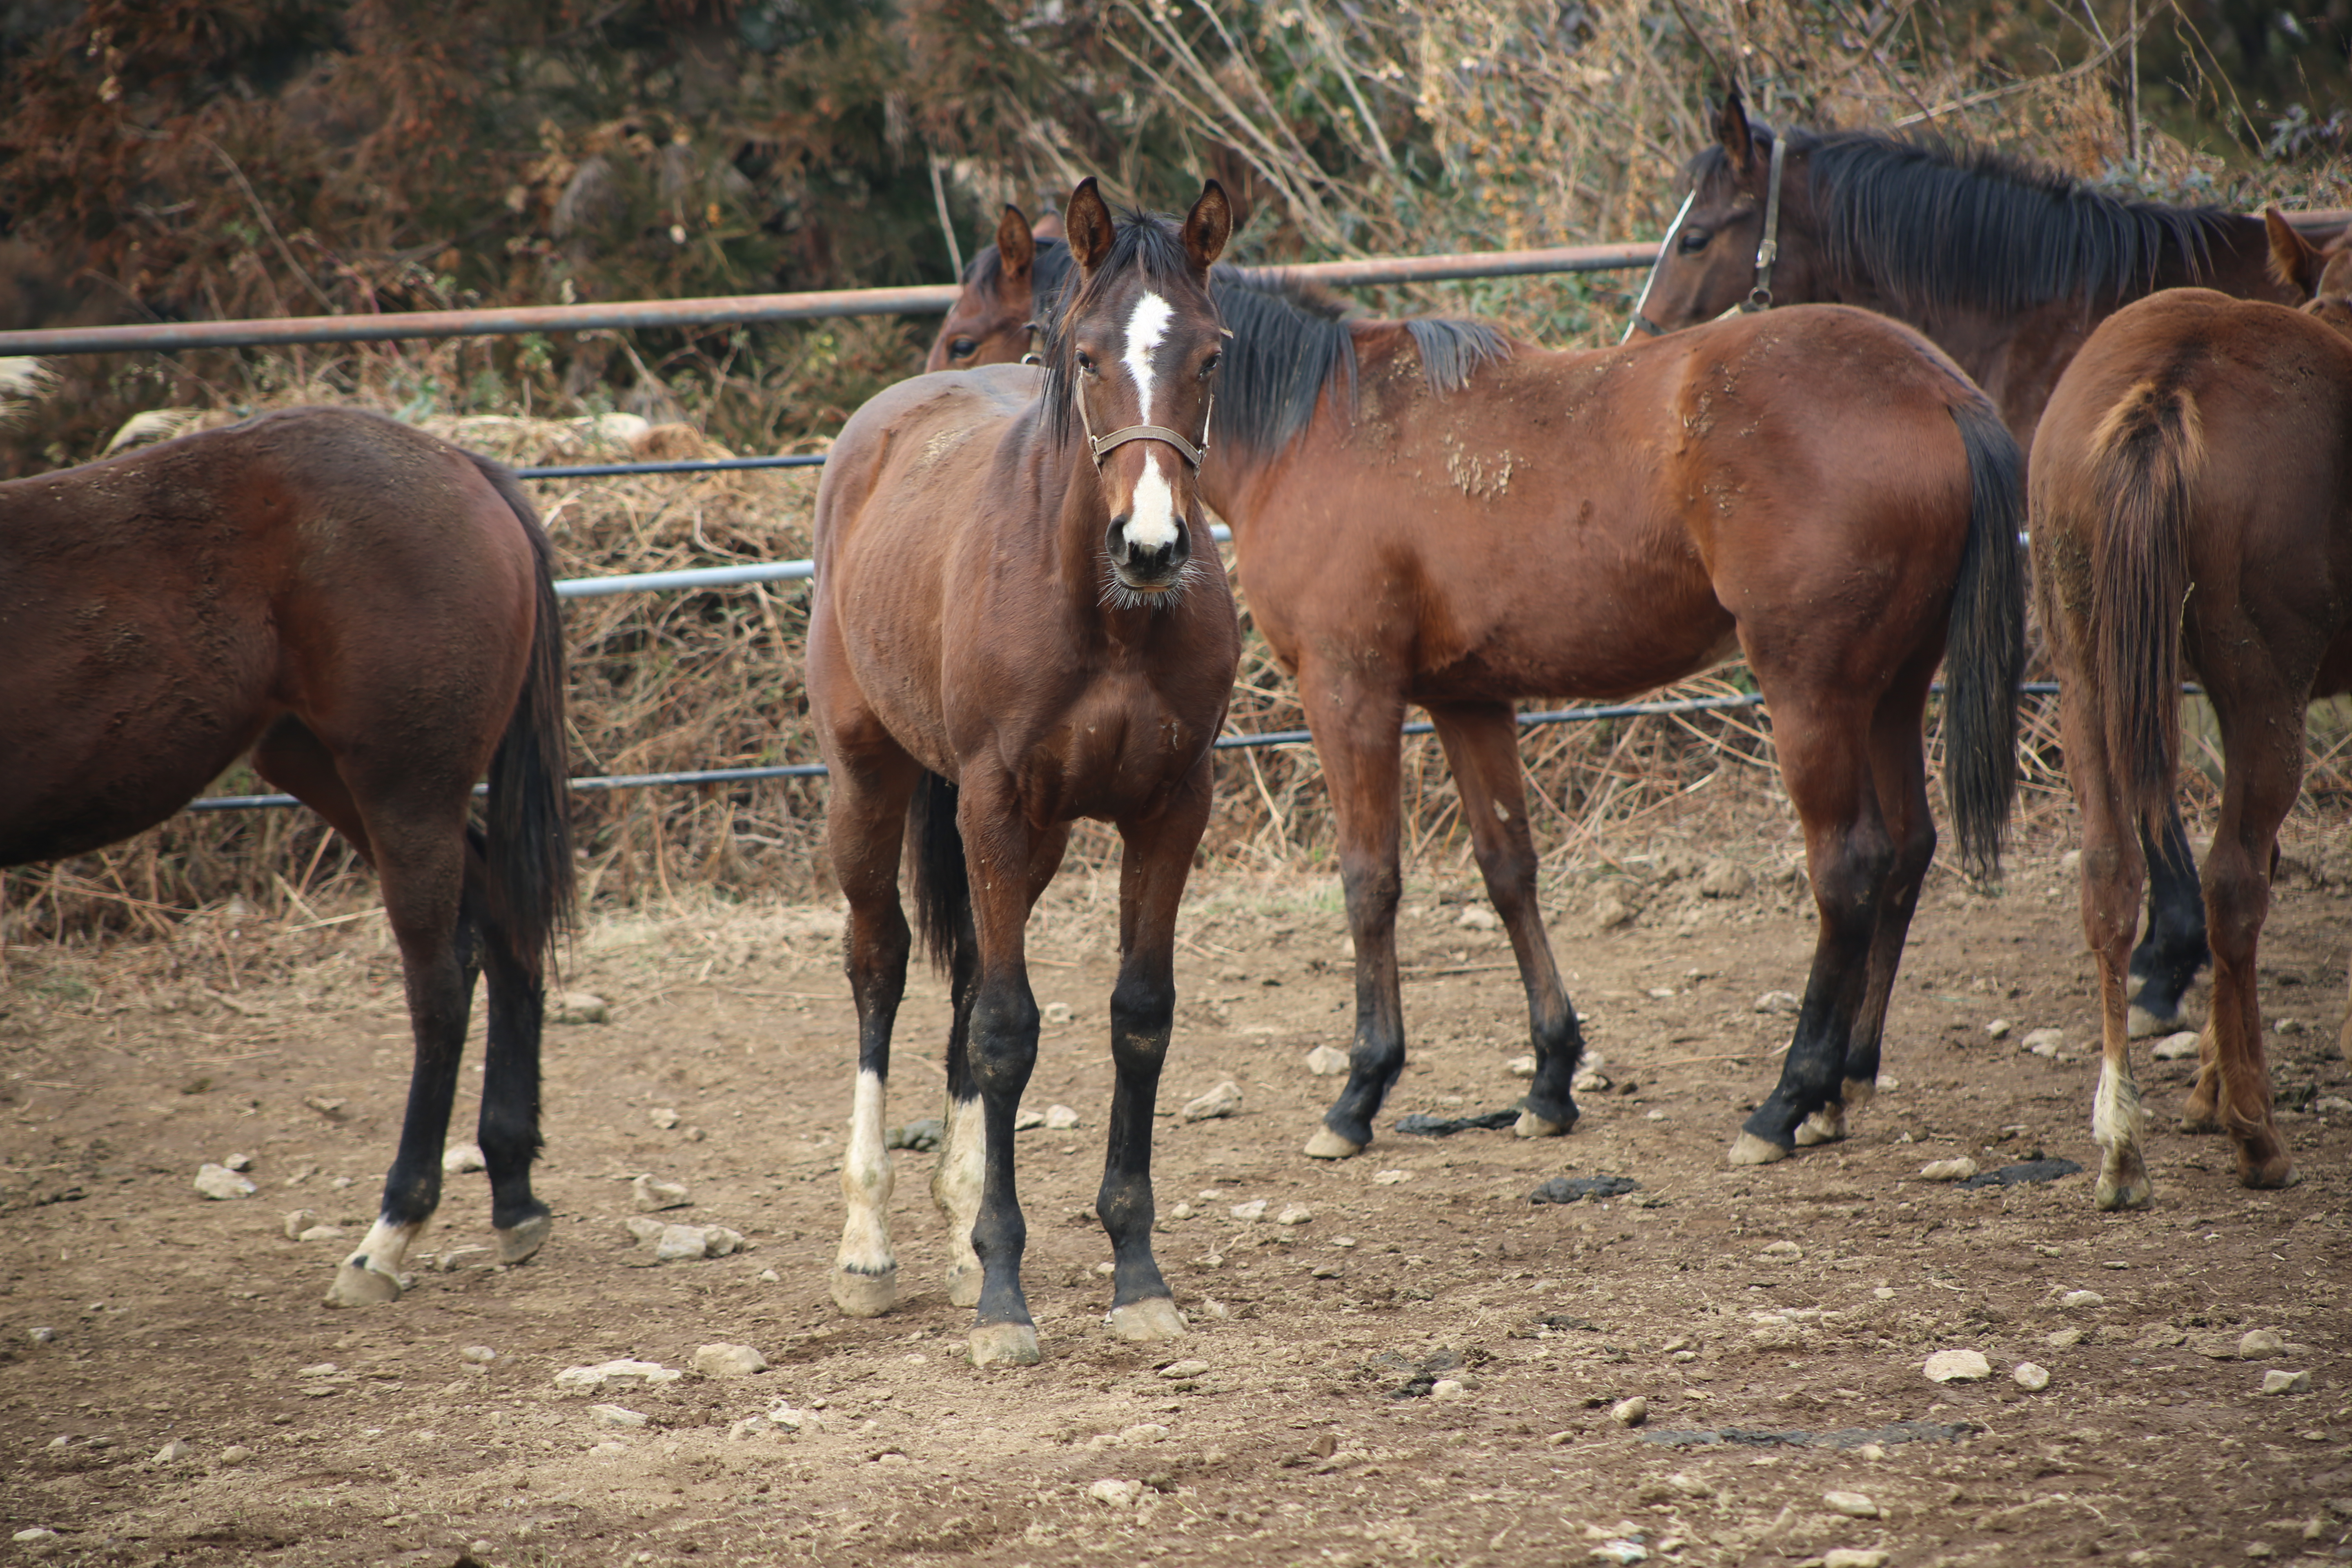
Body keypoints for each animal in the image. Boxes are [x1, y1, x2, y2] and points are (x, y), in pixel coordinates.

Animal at [7, 404, 576, 1297]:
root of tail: (461, 465)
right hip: (318, 765)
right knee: (501, 922)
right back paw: (513, 1193)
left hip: (403, 787)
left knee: (440, 989)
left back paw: (391, 1232)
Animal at [813, 177, 1251, 1363]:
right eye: (1088, 355)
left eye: (1210, 355)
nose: (1150, 546)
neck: (1105, 614)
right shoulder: (995, 807)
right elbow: (1008, 1032)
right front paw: (1004, 1298)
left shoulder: (1168, 808)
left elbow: (1137, 1016)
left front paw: (1135, 1275)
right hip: (867, 780)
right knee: (878, 964)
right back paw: (867, 1247)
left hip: (1031, 836)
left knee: (966, 973)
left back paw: (958, 1219)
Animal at [927, 223, 2032, 1175]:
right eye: (1082, 355)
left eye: (969, 336)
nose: (1143, 541)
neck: (1319, 425)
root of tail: (1935, 387)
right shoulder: (1469, 700)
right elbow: (1509, 871)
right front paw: (1549, 1080)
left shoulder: (1349, 689)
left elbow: (1369, 879)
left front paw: (1360, 1093)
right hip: (1889, 689)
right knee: (1906, 850)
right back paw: (1843, 1083)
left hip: (1809, 687)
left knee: (1848, 867)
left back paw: (1787, 1099)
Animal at [2022, 215, 2352, 1213]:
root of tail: (2168, 389)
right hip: (2261, 691)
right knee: (2234, 884)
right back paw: (2257, 1134)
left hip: (2088, 680)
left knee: (2112, 876)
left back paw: (2123, 1147)